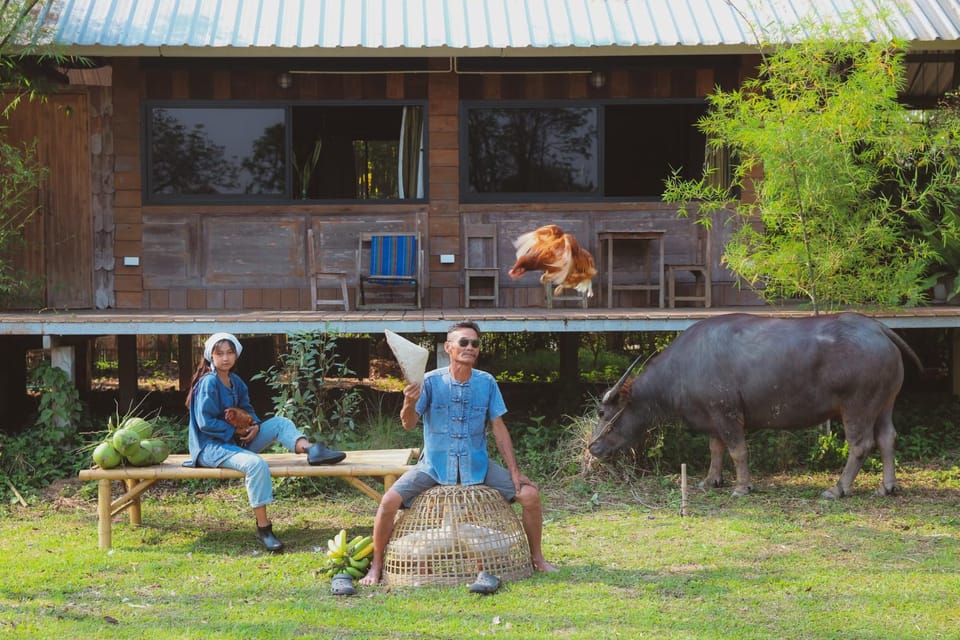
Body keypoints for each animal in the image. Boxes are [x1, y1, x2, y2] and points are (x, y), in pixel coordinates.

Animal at [588, 312, 920, 498]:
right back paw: (887, 487)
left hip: (857, 406)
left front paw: (741, 487)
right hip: (884, 404)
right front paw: (710, 481)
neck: (683, 367)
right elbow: (716, 450)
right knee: (887, 438)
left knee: (861, 445)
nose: (593, 448)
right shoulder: (712, 417)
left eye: (604, 413)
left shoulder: (727, 413)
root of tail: (877, 329)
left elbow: (737, 451)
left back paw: (837, 489)